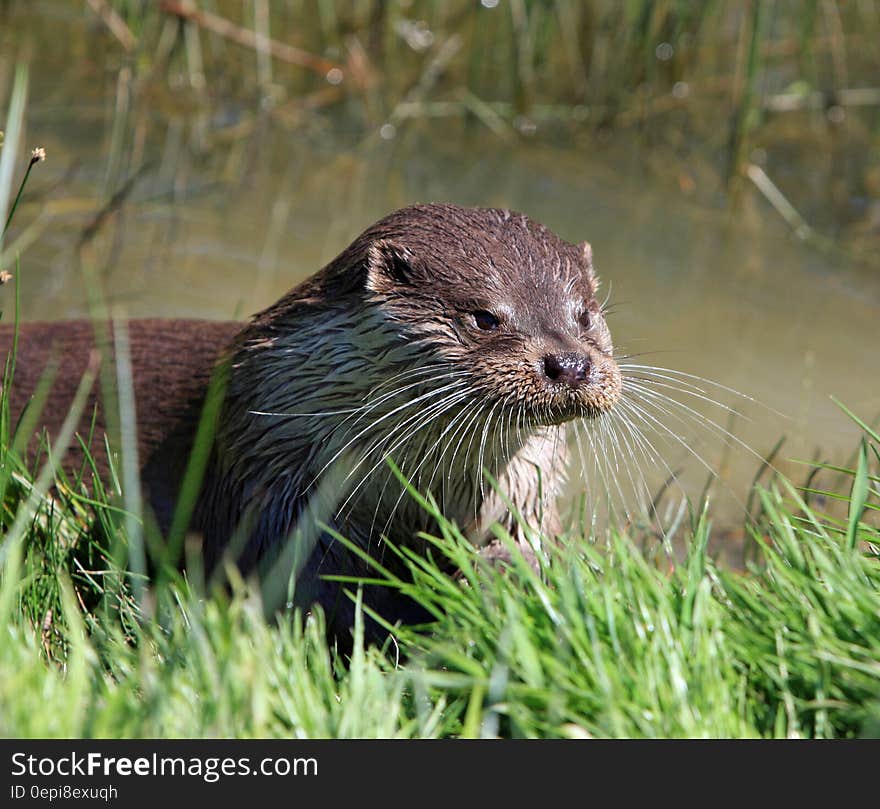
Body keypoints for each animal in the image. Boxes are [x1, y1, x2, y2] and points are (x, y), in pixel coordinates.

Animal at [1, 205, 620, 640]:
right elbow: (310, 587)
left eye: (584, 315)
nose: (570, 364)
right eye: (485, 317)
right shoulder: (272, 481)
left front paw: (506, 576)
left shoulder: (524, 489)